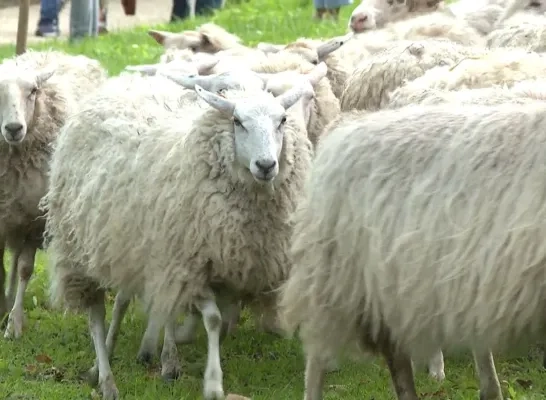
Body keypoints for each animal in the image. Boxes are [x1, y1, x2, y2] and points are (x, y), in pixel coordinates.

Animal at [44, 67, 316, 398]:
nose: (266, 165)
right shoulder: (187, 262)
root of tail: (124, 83)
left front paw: (173, 357)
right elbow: (211, 320)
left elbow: (211, 318)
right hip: (77, 247)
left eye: (282, 120)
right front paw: (211, 381)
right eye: (237, 121)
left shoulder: (221, 266)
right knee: (95, 314)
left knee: (124, 299)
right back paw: (106, 375)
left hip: (126, 245)